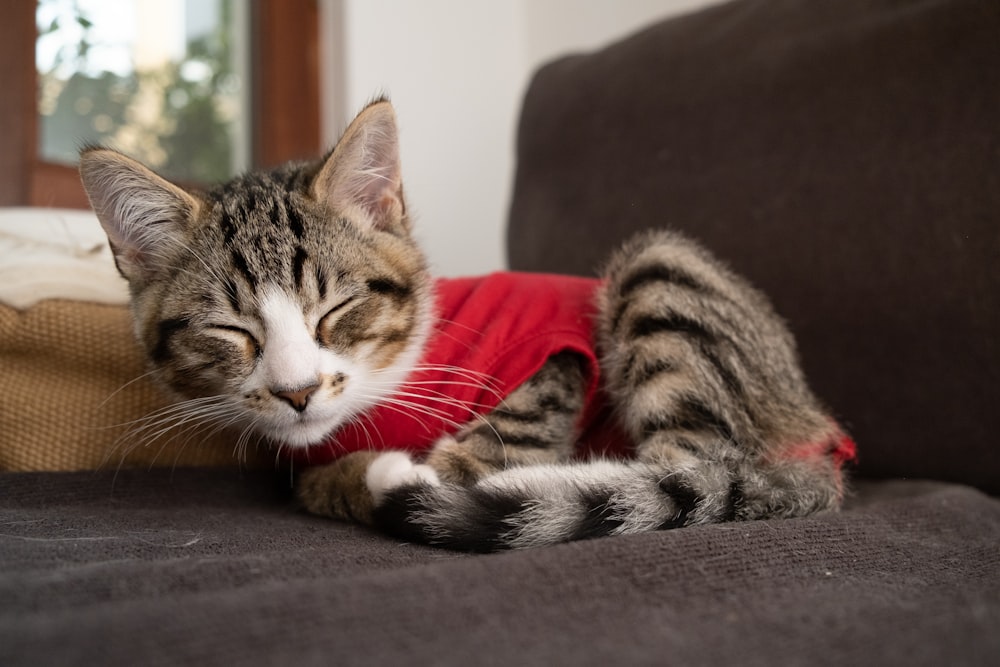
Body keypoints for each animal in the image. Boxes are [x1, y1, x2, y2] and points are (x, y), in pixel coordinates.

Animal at [82, 96, 856, 552]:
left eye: (334, 311)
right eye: (233, 331)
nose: (296, 391)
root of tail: (814, 430)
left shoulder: (554, 363)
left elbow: (488, 451)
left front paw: (397, 475)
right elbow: (311, 478)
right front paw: (339, 476)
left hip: (659, 270)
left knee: (693, 465)